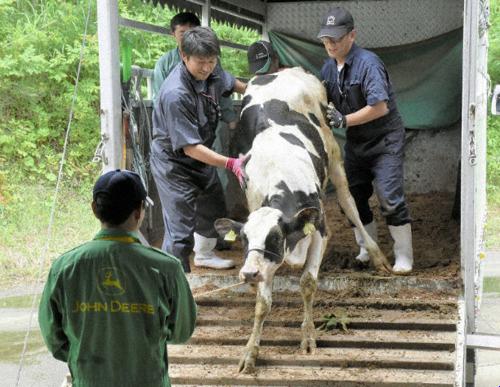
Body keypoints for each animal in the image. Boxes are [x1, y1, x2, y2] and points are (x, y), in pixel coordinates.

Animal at [215, 68, 390, 374]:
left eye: (275, 237)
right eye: (245, 239)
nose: (248, 273)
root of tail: (284, 70)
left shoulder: (320, 229)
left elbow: (308, 283)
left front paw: (308, 337)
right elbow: (262, 303)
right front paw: (250, 352)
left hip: (334, 156)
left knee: (351, 204)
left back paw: (377, 256)